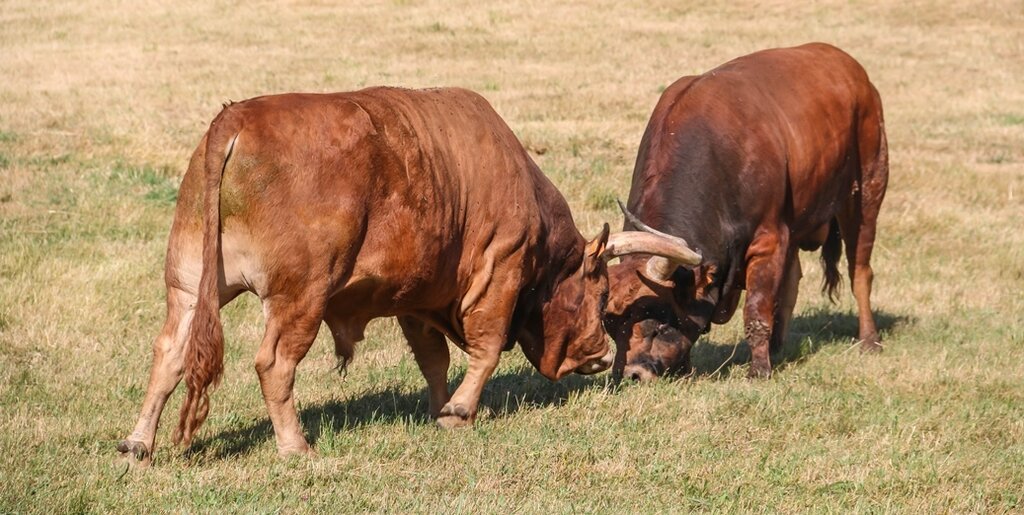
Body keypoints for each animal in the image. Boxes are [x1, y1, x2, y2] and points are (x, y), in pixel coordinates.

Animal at [119, 86, 696, 464]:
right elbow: (485, 350)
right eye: (599, 294)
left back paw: (138, 443)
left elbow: (434, 360)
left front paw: (441, 410)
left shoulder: (419, 299)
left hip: (191, 283)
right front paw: (461, 410)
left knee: (169, 353)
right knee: (273, 364)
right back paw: (294, 444)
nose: (600, 354)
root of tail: (236, 118)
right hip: (300, 297)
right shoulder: (499, 271)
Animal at [606, 44, 888, 380]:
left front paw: (759, 370)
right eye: (612, 328)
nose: (631, 373)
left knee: (860, 271)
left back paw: (869, 339)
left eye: (658, 325)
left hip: (865, 194)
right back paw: (778, 345)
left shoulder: (768, 241)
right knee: (792, 279)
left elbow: (757, 307)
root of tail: (851, 67)